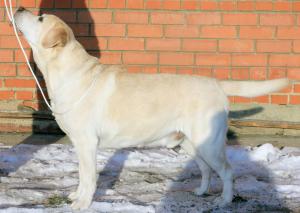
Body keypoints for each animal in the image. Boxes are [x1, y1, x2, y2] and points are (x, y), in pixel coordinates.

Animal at [13, 6, 288, 210]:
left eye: (40, 18)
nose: (19, 7)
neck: (66, 72)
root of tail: (217, 84)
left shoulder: (87, 143)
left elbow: (88, 177)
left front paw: (82, 204)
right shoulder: (80, 145)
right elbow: (82, 176)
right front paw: (76, 196)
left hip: (209, 144)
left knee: (227, 172)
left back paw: (224, 200)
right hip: (191, 143)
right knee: (206, 170)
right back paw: (200, 192)